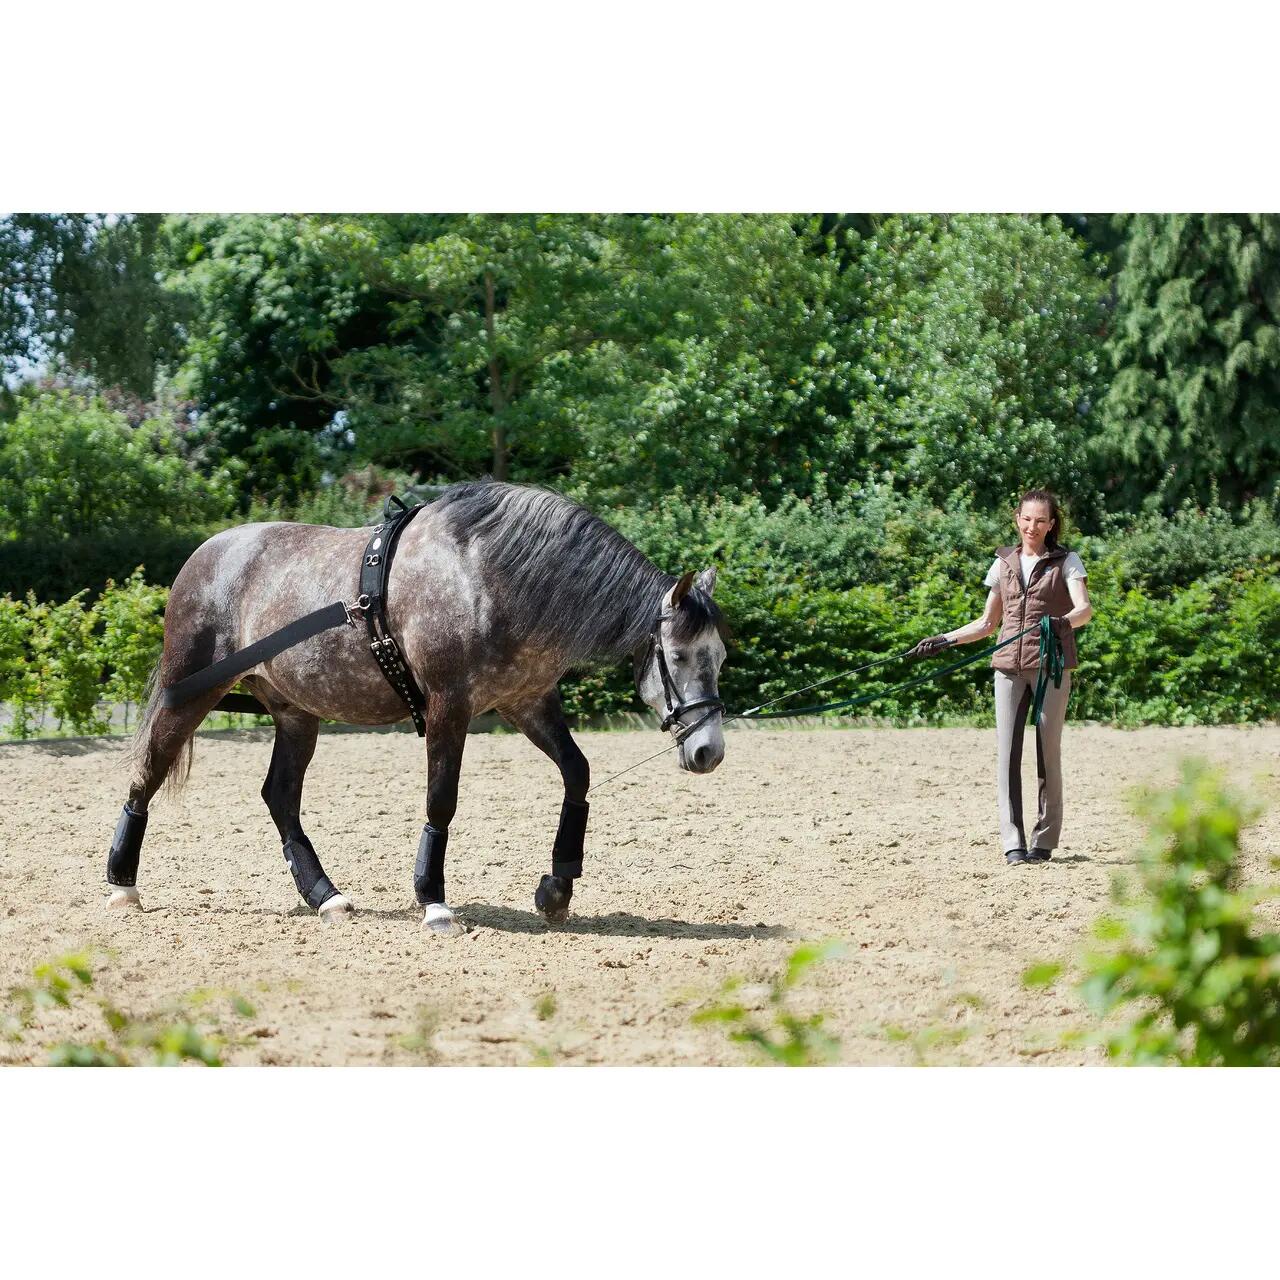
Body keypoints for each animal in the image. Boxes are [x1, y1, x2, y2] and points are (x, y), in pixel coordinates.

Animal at [104, 481, 729, 934]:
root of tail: (206, 556)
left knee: (279, 797)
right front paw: (433, 901)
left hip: (296, 713)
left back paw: (326, 896)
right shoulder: (450, 708)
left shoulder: (528, 702)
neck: (491, 579)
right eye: (677, 654)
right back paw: (122, 886)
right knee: (147, 772)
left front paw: (556, 889)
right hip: (191, 693)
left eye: (719, 654)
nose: (709, 751)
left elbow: (578, 773)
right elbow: (441, 800)